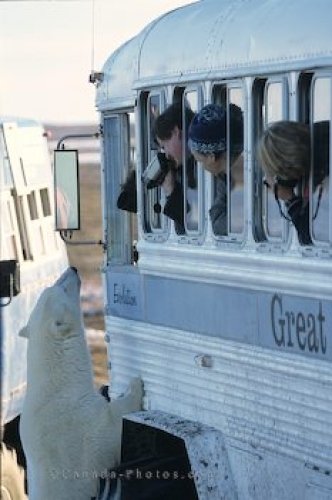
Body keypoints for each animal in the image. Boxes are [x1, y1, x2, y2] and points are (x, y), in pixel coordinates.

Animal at [18, 270, 142, 500]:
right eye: (62, 288)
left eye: (53, 284)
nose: (73, 269)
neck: (59, 385)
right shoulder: (75, 423)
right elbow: (107, 431)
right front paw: (135, 388)